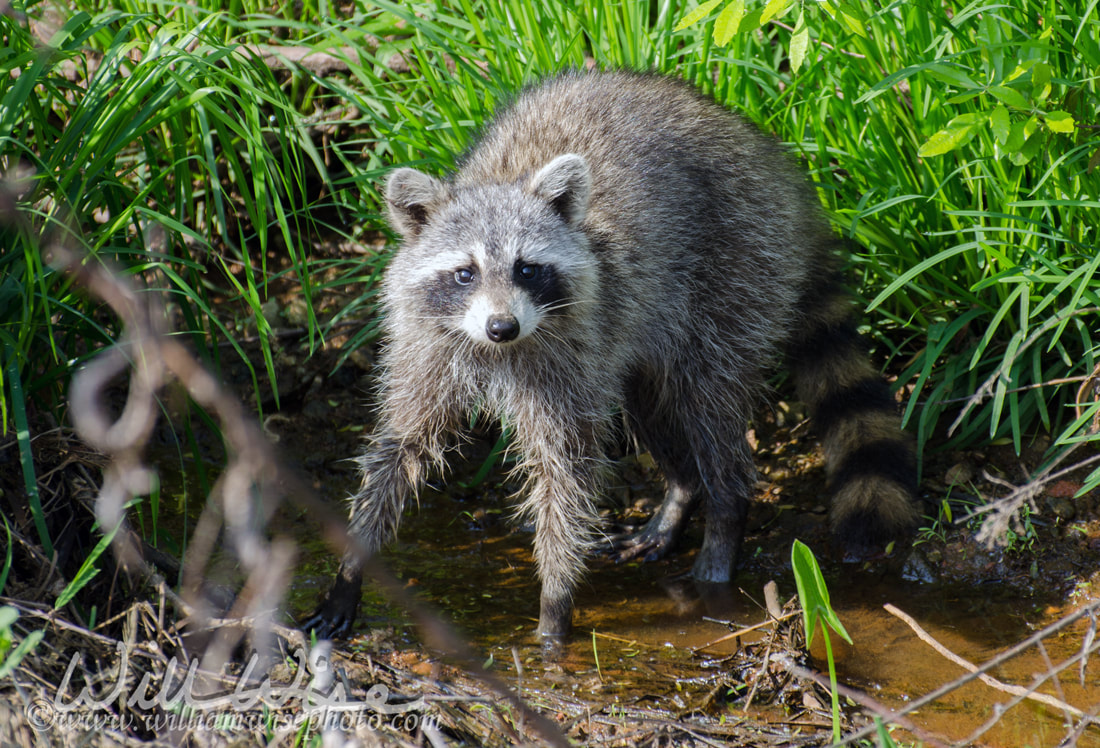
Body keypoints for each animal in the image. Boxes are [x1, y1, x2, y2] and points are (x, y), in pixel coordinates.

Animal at [305, 71, 924, 655]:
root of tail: (775, 165)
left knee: (708, 402)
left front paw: (555, 603)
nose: (503, 326)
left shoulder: (565, 356)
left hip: (739, 267)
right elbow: (399, 448)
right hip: (647, 326)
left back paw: (724, 517)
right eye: (465, 273)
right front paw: (352, 566)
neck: (496, 349)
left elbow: (567, 470)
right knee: (649, 400)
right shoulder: (429, 347)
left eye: (527, 268)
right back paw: (682, 491)